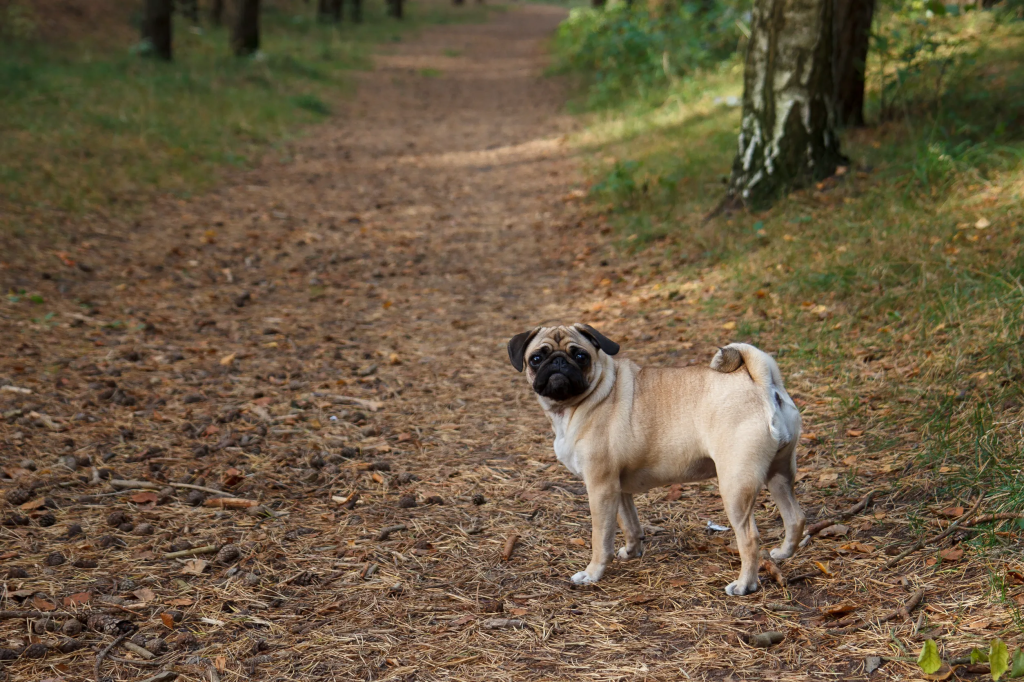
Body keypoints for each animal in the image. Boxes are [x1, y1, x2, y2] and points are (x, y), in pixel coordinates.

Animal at [507, 321, 802, 593]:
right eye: (536, 358)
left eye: (580, 356)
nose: (558, 362)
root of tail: (762, 384)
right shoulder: (617, 488)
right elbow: (629, 524)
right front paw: (631, 551)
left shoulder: (600, 487)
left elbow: (601, 538)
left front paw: (592, 573)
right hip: (778, 474)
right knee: (795, 518)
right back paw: (782, 554)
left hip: (735, 485)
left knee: (750, 538)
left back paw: (744, 585)